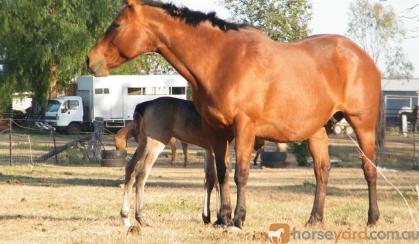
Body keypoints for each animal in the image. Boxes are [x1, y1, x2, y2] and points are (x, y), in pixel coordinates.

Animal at [88, 0, 384, 229]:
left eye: (117, 25)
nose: (91, 59)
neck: (222, 60)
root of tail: (362, 57)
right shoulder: (216, 133)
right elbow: (221, 175)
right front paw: (222, 218)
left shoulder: (244, 127)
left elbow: (240, 173)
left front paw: (239, 219)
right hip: (317, 131)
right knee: (322, 171)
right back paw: (315, 219)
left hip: (363, 125)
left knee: (369, 169)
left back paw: (372, 218)